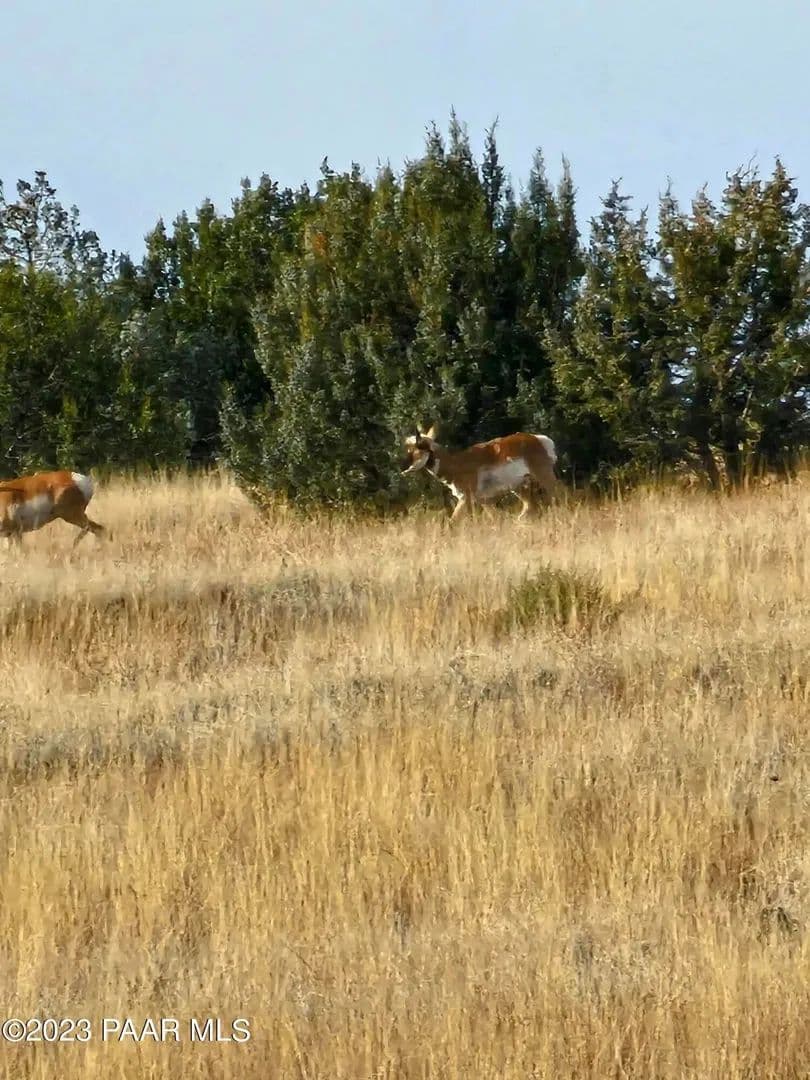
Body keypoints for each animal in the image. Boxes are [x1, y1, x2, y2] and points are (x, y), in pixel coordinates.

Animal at [401, 425, 558, 522]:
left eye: (418, 448)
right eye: (407, 449)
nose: (403, 468)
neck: (457, 463)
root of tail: (539, 439)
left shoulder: (466, 498)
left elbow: (453, 522)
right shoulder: (483, 501)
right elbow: (495, 518)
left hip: (544, 477)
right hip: (521, 488)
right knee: (529, 509)